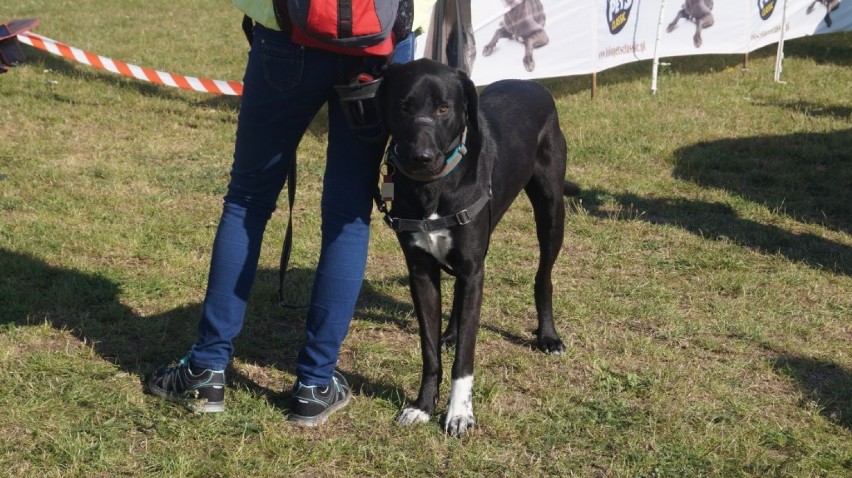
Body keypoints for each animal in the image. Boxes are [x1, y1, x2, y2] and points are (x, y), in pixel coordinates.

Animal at [382, 58, 576, 436]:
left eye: (443, 108)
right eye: (402, 106)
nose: (420, 157)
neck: (434, 188)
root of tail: (531, 84)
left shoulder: (473, 269)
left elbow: (465, 359)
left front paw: (459, 414)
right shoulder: (422, 272)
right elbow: (429, 351)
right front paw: (423, 406)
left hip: (551, 210)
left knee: (543, 276)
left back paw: (548, 336)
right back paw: (451, 333)